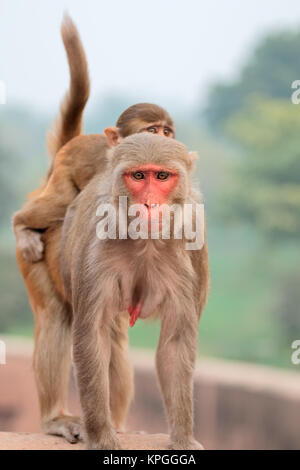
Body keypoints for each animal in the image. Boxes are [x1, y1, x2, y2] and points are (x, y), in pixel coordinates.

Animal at [61, 133, 209, 452]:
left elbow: (176, 343)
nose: (150, 204)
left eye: (162, 176)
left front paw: (182, 438)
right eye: (138, 176)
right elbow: (93, 336)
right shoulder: (97, 240)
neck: (146, 242)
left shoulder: (190, 241)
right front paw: (101, 437)